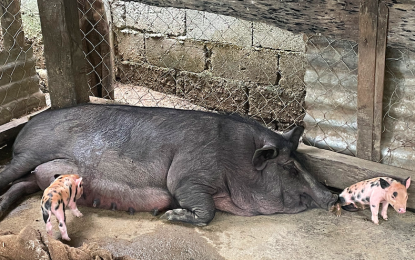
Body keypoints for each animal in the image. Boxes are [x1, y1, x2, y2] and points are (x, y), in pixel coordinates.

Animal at [0, 103, 338, 225]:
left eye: (303, 160)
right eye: (290, 168)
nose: (332, 196)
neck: (237, 159)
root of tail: (29, 123)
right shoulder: (187, 175)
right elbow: (205, 209)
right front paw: (170, 215)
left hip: (42, 173)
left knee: (25, 183)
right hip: (29, 154)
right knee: (8, 174)